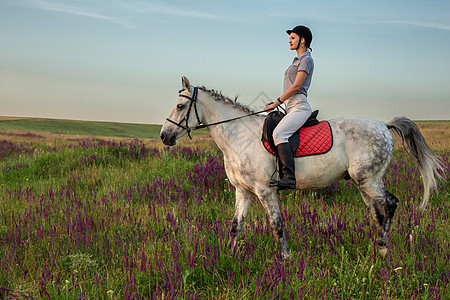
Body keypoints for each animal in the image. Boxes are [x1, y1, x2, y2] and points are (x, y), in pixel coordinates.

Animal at [161, 77, 442, 258]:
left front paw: (286, 259)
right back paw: (379, 248)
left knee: (391, 203)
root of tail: (384, 124)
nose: (164, 136)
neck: (239, 135)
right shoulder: (244, 191)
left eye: (180, 106)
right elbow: (235, 225)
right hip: (364, 183)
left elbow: (277, 225)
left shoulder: (265, 190)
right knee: (378, 212)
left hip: (370, 180)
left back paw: (383, 247)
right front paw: (229, 257)